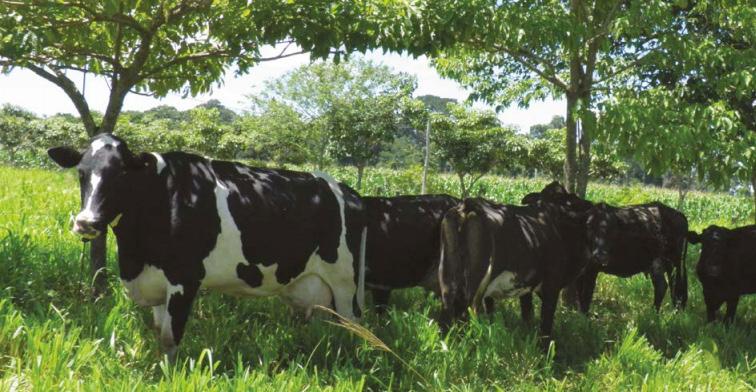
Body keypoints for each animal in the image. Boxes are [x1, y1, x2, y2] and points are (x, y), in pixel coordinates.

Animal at [47, 136, 366, 362]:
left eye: (122, 174)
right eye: (81, 173)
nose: (86, 222)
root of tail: (347, 191)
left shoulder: (184, 278)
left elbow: (170, 338)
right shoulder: (156, 283)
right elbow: (159, 333)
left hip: (346, 283)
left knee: (353, 325)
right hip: (314, 286)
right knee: (324, 325)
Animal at [438, 199, 592, 340]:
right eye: (592, 224)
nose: (598, 255)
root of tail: (468, 204)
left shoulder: (526, 285)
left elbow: (527, 314)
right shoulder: (552, 284)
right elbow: (545, 325)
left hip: (448, 280)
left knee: (447, 313)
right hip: (475, 287)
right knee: (464, 316)